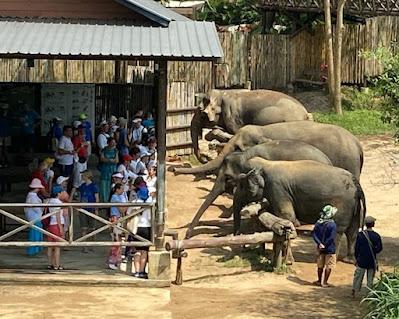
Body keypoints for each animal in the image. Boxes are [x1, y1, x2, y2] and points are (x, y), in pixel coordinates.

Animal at [234, 159, 368, 262]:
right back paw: (349, 260)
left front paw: (287, 259)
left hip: (343, 204)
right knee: (352, 230)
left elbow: (288, 217)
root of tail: (356, 184)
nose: (243, 248)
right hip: (354, 205)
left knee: (337, 229)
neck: (264, 166)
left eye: (241, 186)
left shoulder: (277, 188)